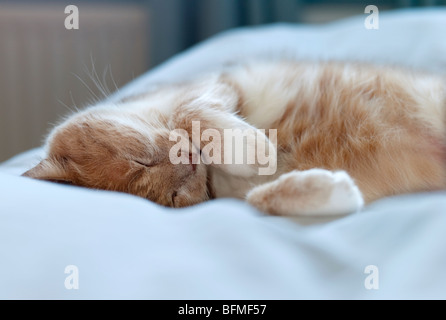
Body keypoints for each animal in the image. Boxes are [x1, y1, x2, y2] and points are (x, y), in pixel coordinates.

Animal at [23, 61, 446, 216]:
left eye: (139, 158)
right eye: (173, 198)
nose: (189, 163)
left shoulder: (220, 84)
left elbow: (190, 112)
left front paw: (251, 148)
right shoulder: (234, 195)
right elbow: (260, 197)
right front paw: (328, 189)